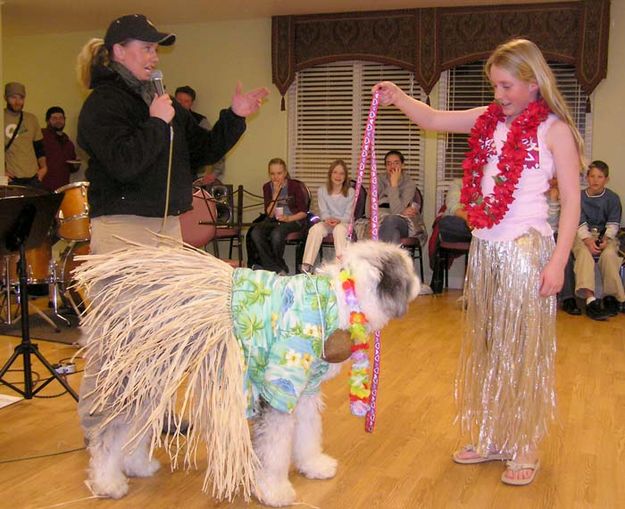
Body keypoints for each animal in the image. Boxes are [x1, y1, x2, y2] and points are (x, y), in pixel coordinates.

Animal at [75, 238, 420, 504]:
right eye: (408, 270)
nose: (420, 282)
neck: (336, 299)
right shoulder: (280, 387)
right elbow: (275, 450)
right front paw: (274, 491)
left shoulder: (303, 390)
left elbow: (308, 433)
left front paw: (314, 465)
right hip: (124, 378)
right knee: (106, 435)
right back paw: (108, 483)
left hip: (149, 379)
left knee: (136, 425)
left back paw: (136, 465)